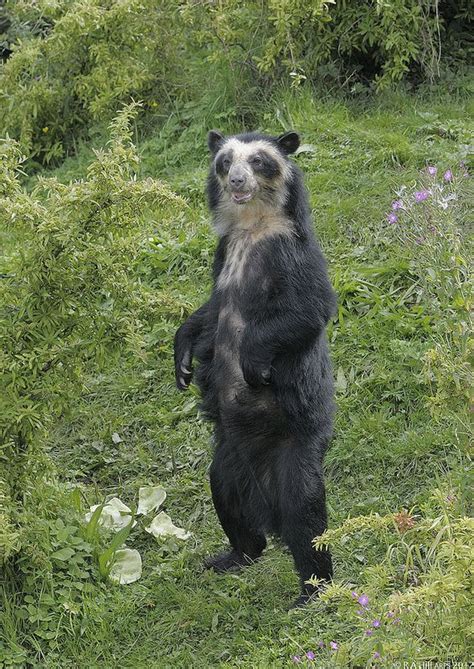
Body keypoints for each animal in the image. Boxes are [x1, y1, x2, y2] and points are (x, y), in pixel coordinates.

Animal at [174, 129, 336, 604]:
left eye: (261, 160)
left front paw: (252, 364)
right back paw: (232, 556)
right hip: (227, 459)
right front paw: (182, 363)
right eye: (225, 161)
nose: (237, 181)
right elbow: (208, 312)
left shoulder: (290, 252)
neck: (252, 226)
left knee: (305, 514)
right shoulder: (223, 254)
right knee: (226, 498)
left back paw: (313, 589)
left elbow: (309, 307)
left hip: (298, 445)